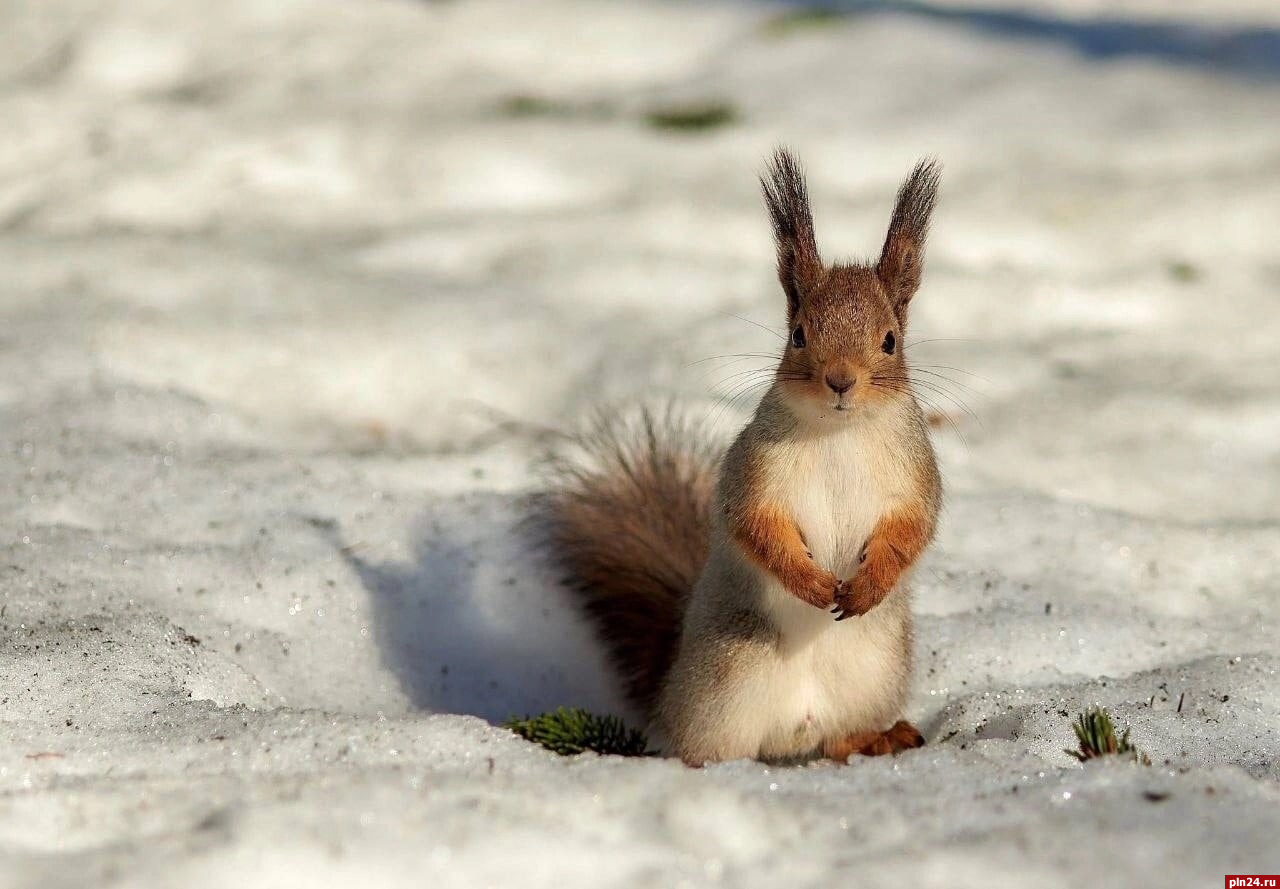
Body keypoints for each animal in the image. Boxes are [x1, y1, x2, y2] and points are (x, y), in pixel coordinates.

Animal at [540, 147, 942, 767]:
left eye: (890, 340)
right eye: (798, 334)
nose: (840, 380)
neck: (837, 432)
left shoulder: (916, 475)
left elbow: (911, 530)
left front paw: (869, 584)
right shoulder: (753, 471)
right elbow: (755, 526)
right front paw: (812, 584)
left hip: (873, 675)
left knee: (838, 738)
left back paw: (876, 738)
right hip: (725, 680)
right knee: (708, 746)